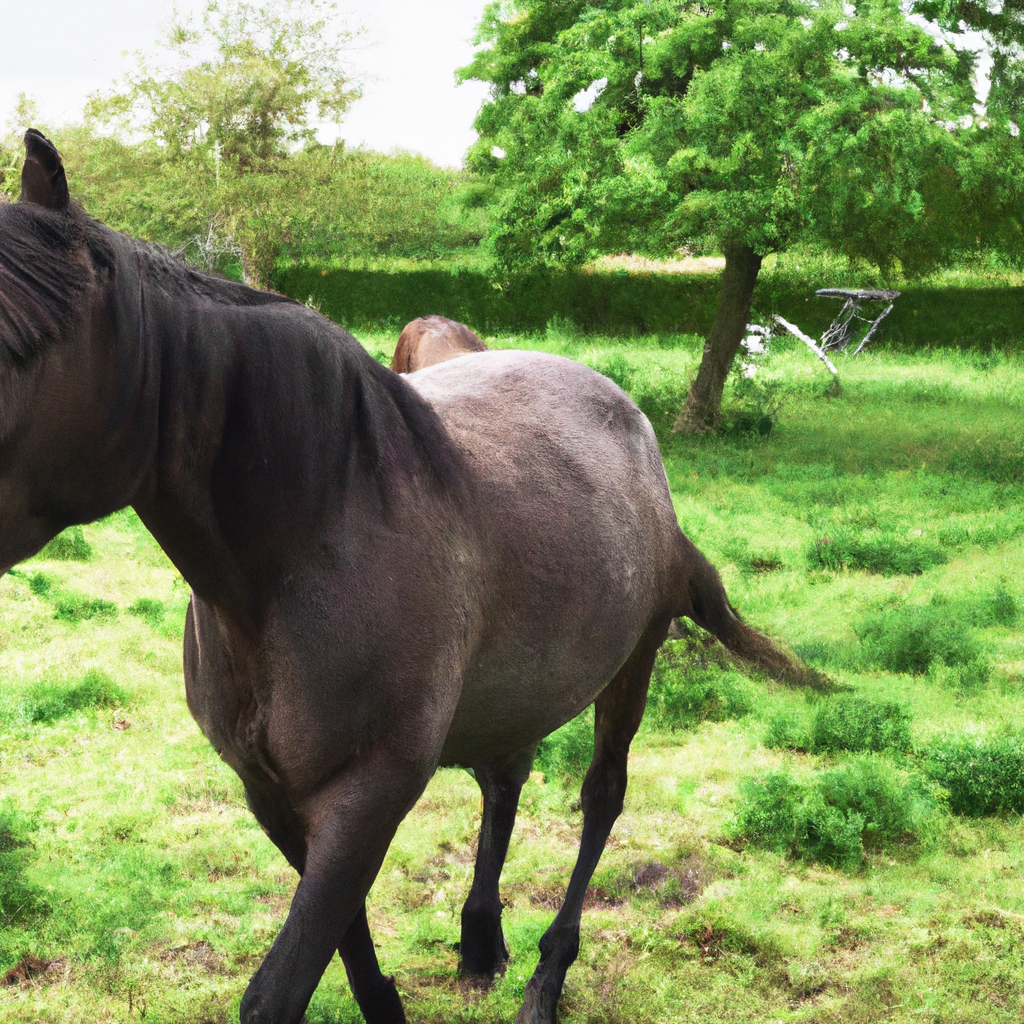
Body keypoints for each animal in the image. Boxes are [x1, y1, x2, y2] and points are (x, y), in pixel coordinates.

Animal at [0, 130, 815, 1024]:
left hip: (630, 668)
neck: (306, 549)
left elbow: (283, 985)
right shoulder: (273, 795)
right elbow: (350, 950)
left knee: (602, 798)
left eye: (14, 349)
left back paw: (545, 977)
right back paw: (480, 939)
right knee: (504, 778)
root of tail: (635, 428)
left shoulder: (369, 793)